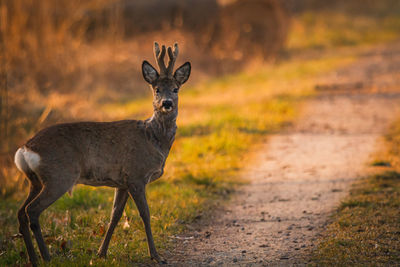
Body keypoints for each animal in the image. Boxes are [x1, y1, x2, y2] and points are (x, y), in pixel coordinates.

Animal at [13, 42, 191, 266]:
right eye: (157, 89)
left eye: (176, 89)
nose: (167, 103)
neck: (154, 139)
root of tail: (25, 148)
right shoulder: (136, 175)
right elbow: (145, 214)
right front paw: (156, 255)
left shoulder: (122, 182)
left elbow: (115, 215)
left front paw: (101, 253)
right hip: (59, 176)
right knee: (32, 210)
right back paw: (46, 257)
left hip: (35, 180)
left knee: (21, 212)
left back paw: (34, 258)